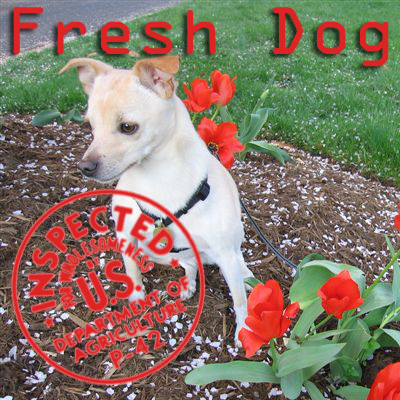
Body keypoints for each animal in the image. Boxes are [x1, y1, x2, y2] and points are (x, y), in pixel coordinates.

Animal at [59, 56, 254, 345]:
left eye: (128, 127)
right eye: (90, 126)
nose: (84, 167)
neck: (158, 181)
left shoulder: (225, 253)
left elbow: (239, 300)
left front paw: (244, 331)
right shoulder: (126, 239)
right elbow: (133, 276)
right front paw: (137, 305)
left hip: (230, 247)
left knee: (235, 265)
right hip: (153, 251)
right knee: (188, 264)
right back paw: (188, 283)